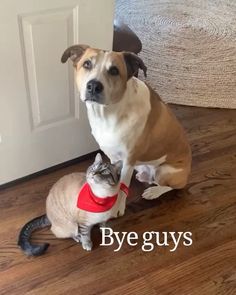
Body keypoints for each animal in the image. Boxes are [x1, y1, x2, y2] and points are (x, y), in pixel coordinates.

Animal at [61, 45, 192, 217]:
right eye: (87, 64)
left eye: (114, 70)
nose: (94, 86)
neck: (108, 113)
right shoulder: (113, 156)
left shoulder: (129, 159)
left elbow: (123, 186)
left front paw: (117, 208)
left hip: (165, 171)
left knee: (172, 186)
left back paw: (153, 192)